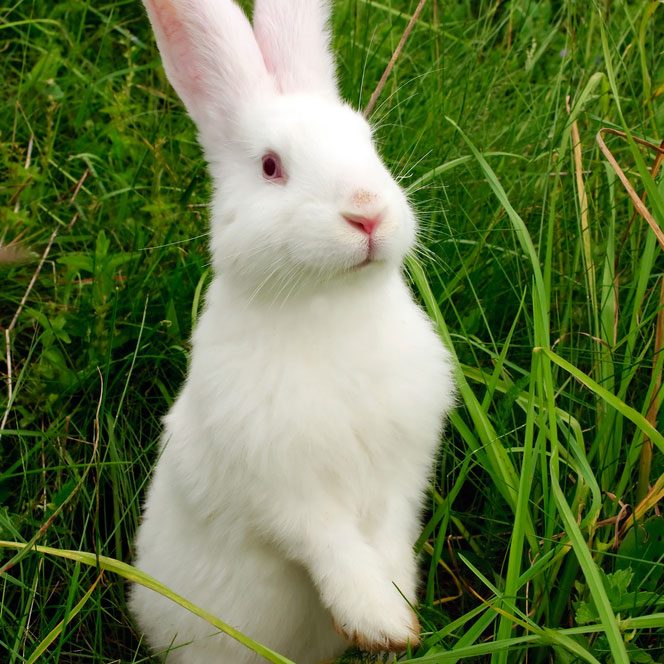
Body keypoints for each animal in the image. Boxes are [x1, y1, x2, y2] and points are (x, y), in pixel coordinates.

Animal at [129, 1, 455, 663]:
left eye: (368, 143)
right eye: (271, 167)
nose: (367, 212)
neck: (331, 304)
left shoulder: (402, 470)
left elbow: (389, 536)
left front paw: (398, 616)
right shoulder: (281, 491)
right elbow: (332, 547)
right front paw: (381, 623)